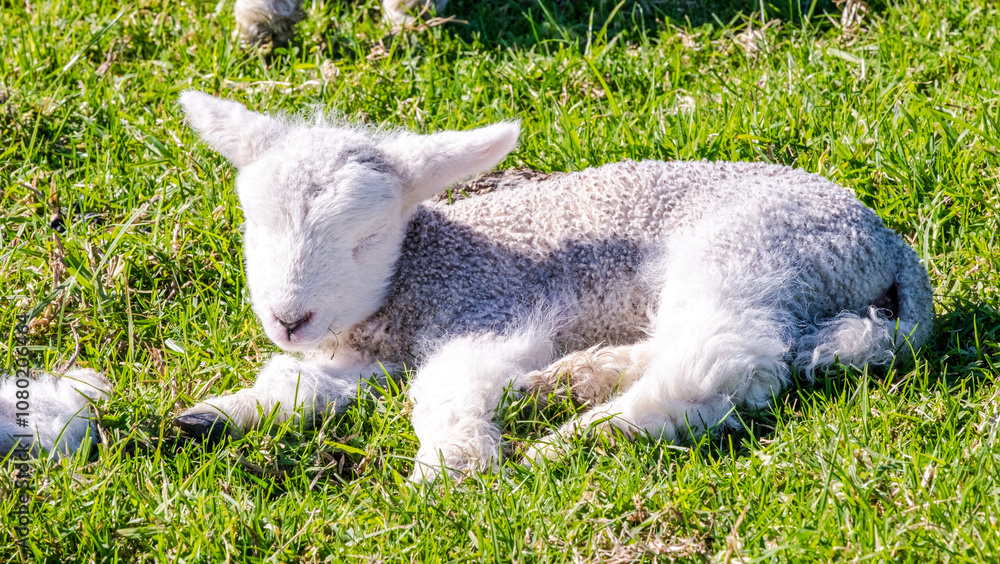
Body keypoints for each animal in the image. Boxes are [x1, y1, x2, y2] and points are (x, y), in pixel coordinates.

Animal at [161, 91, 934, 480]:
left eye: (366, 237)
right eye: (252, 224)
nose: (288, 317)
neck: (418, 272)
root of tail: (885, 239)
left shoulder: (486, 312)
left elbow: (446, 387)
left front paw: (452, 467)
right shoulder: (359, 349)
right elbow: (297, 384)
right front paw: (208, 418)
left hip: (750, 253)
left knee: (721, 362)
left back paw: (584, 437)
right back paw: (567, 382)